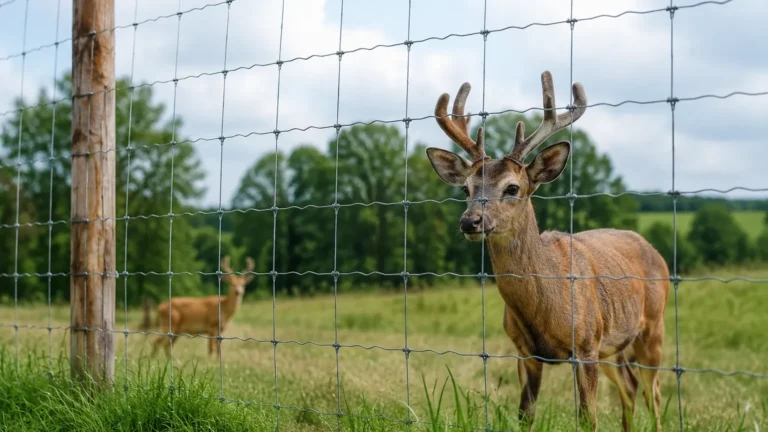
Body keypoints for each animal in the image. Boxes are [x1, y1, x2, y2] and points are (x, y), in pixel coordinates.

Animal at [425, 71, 669, 431]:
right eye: (466, 189)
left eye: (512, 188)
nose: (470, 221)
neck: (545, 308)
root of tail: (655, 251)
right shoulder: (524, 351)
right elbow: (525, 415)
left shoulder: (586, 344)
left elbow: (588, 418)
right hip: (614, 347)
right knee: (630, 387)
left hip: (652, 327)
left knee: (655, 395)